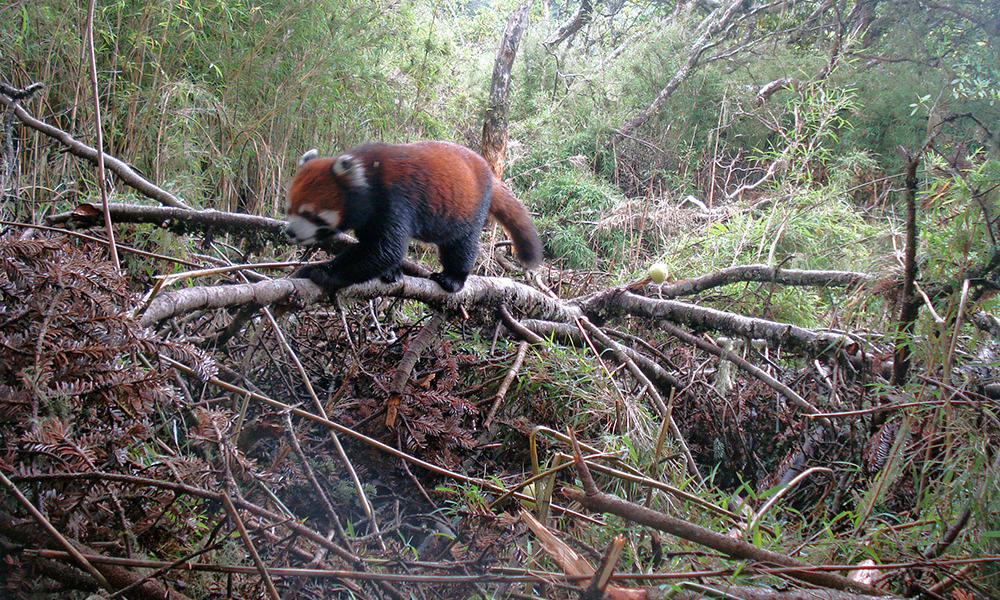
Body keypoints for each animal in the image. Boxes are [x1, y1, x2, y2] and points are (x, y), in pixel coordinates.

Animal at [286, 141, 544, 290]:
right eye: (289, 209)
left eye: (309, 213)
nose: (289, 231)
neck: (367, 177)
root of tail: (489, 172)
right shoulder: (369, 217)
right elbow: (374, 248)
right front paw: (391, 272)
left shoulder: (395, 199)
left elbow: (385, 250)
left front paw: (326, 273)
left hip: (469, 207)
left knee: (460, 245)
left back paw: (454, 278)